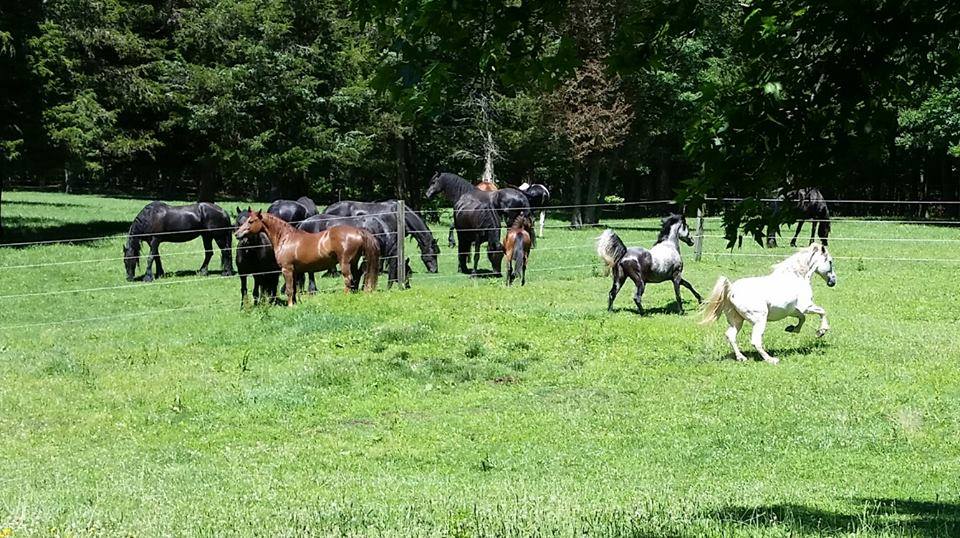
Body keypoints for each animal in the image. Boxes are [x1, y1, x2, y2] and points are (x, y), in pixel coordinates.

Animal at [235, 209, 379, 304]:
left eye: (251, 221)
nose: (237, 234)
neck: (285, 238)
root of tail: (358, 231)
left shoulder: (287, 270)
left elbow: (289, 289)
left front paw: (290, 306)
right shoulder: (294, 271)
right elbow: (293, 289)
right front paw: (294, 304)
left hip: (345, 263)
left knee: (348, 280)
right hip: (353, 262)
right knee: (356, 277)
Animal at [701, 243, 836, 364]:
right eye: (830, 261)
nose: (833, 281)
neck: (797, 277)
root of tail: (731, 290)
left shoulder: (792, 310)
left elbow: (802, 318)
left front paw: (792, 329)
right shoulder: (806, 306)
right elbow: (822, 312)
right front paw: (821, 331)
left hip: (737, 320)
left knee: (731, 336)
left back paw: (742, 358)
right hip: (760, 319)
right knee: (755, 341)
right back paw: (771, 360)